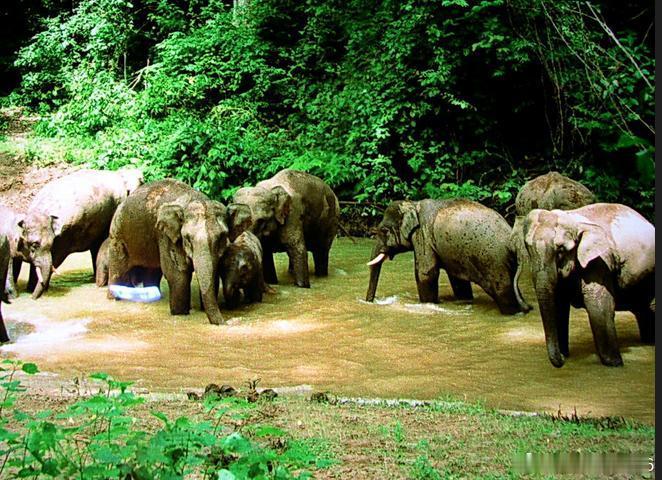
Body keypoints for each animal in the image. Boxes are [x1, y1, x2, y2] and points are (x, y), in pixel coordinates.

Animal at [107, 178, 250, 325]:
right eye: (187, 238)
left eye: (222, 237)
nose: (228, 322)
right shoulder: (167, 236)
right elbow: (177, 273)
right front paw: (180, 313)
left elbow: (213, 273)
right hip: (117, 236)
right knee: (119, 270)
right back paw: (114, 298)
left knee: (152, 271)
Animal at [366, 199, 532, 315]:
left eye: (384, 231)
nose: (369, 302)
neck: (413, 204)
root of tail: (513, 242)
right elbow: (457, 279)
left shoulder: (423, 236)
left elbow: (426, 273)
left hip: (495, 262)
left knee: (503, 291)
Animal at [518, 203, 655, 367]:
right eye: (528, 247)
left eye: (561, 250)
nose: (562, 359)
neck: (572, 219)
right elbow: (558, 304)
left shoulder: (599, 262)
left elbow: (598, 305)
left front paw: (614, 363)